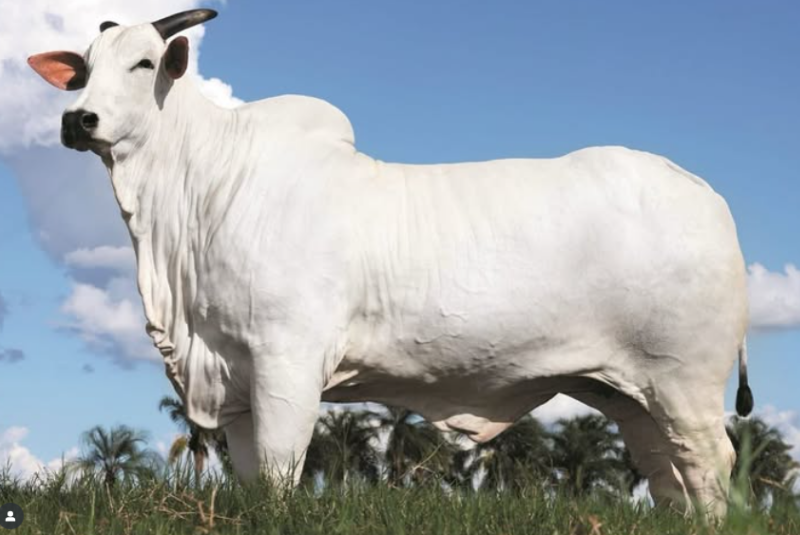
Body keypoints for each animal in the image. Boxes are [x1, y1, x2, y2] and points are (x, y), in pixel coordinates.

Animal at [29, 9, 753, 516]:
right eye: (82, 68)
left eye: (143, 63)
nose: (78, 120)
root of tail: (704, 192)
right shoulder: (231, 375)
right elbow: (252, 477)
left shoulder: (287, 361)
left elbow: (281, 472)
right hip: (631, 392)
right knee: (665, 470)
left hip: (685, 380)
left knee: (710, 460)